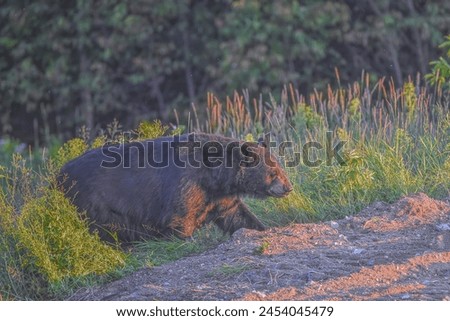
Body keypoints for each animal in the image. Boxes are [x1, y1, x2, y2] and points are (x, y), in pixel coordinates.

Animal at [58, 131, 292, 241]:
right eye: (273, 173)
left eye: (280, 168)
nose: (288, 187)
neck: (213, 175)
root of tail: (58, 176)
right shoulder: (186, 184)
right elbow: (179, 217)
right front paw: (185, 239)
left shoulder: (218, 195)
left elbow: (236, 214)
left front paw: (261, 228)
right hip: (94, 204)